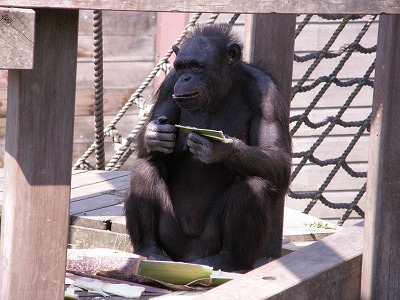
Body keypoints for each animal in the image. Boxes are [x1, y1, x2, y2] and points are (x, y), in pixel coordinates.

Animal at [125, 24, 290, 272]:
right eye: (181, 66)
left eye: (197, 66)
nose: (186, 77)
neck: (224, 88)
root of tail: (188, 257)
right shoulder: (169, 84)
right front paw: (154, 135)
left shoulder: (268, 95)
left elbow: (278, 157)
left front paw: (220, 148)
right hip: (171, 235)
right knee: (144, 168)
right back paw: (150, 250)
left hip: (208, 241)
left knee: (254, 184)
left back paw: (227, 261)